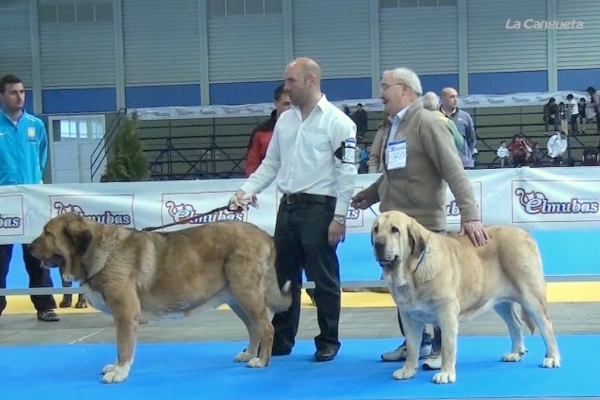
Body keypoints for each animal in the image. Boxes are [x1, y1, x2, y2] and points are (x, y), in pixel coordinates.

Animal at [30, 212, 292, 384]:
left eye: (47, 233)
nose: (30, 248)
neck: (99, 251)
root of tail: (265, 236)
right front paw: (116, 368)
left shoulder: (125, 313)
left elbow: (123, 347)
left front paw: (120, 372)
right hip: (237, 299)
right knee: (254, 328)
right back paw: (249, 353)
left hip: (247, 294)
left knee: (266, 327)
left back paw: (261, 361)